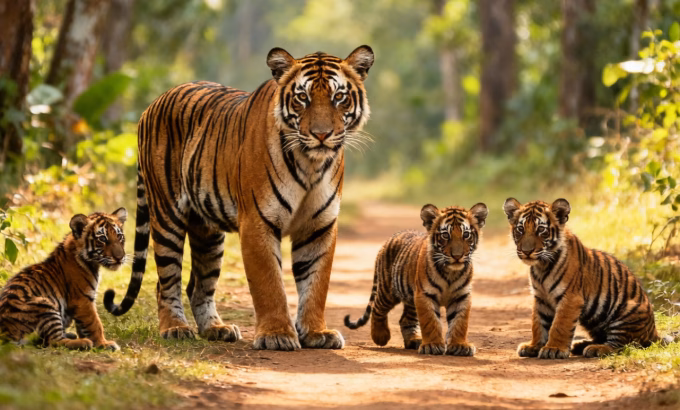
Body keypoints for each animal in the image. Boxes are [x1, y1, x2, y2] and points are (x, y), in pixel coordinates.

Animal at [0, 209, 127, 350]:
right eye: (102, 239)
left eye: (119, 236)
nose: (120, 258)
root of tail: (4, 333)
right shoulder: (82, 299)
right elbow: (94, 323)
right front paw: (103, 343)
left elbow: (84, 324)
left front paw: (95, 341)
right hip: (45, 306)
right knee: (53, 341)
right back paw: (82, 342)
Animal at [103, 46, 375, 351]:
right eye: (302, 97)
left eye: (338, 97)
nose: (321, 134)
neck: (310, 163)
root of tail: (151, 106)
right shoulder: (258, 221)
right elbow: (269, 283)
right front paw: (276, 335)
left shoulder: (319, 226)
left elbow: (316, 284)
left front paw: (317, 333)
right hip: (166, 215)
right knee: (165, 281)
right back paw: (175, 328)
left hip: (207, 231)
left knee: (198, 286)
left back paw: (216, 329)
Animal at [345, 203, 488, 356]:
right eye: (445, 235)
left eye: (466, 235)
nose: (457, 256)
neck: (451, 272)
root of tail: (391, 238)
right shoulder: (425, 294)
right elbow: (430, 321)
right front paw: (432, 345)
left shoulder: (461, 295)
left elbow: (460, 322)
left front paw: (460, 345)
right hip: (388, 291)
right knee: (377, 308)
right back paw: (381, 336)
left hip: (410, 299)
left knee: (405, 320)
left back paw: (414, 340)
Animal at [503, 198, 662, 359]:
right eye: (520, 229)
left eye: (541, 229)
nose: (526, 251)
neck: (541, 266)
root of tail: (654, 333)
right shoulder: (541, 298)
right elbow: (538, 324)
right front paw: (534, 346)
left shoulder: (570, 298)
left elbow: (559, 325)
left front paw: (554, 348)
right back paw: (580, 345)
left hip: (626, 313)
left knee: (623, 346)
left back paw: (596, 349)